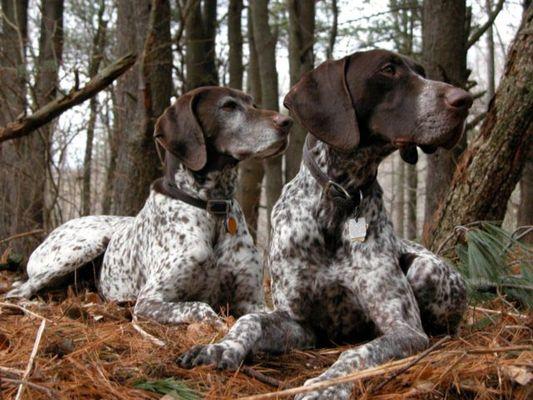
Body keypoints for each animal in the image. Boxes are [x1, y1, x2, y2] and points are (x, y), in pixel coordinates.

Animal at [5, 86, 296, 326]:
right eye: (228, 106)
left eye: (252, 103)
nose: (287, 122)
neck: (212, 207)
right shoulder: (150, 300)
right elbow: (200, 307)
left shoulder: (252, 301)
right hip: (85, 246)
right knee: (19, 290)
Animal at [179, 50, 470, 400]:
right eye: (388, 69)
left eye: (422, 72)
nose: (464, 100)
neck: (340, 200)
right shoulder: (301, 324)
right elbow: (250, 320)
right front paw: (220, 348)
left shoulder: (406, 329)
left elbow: (357, 353)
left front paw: (326, 386)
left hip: (425, 270)